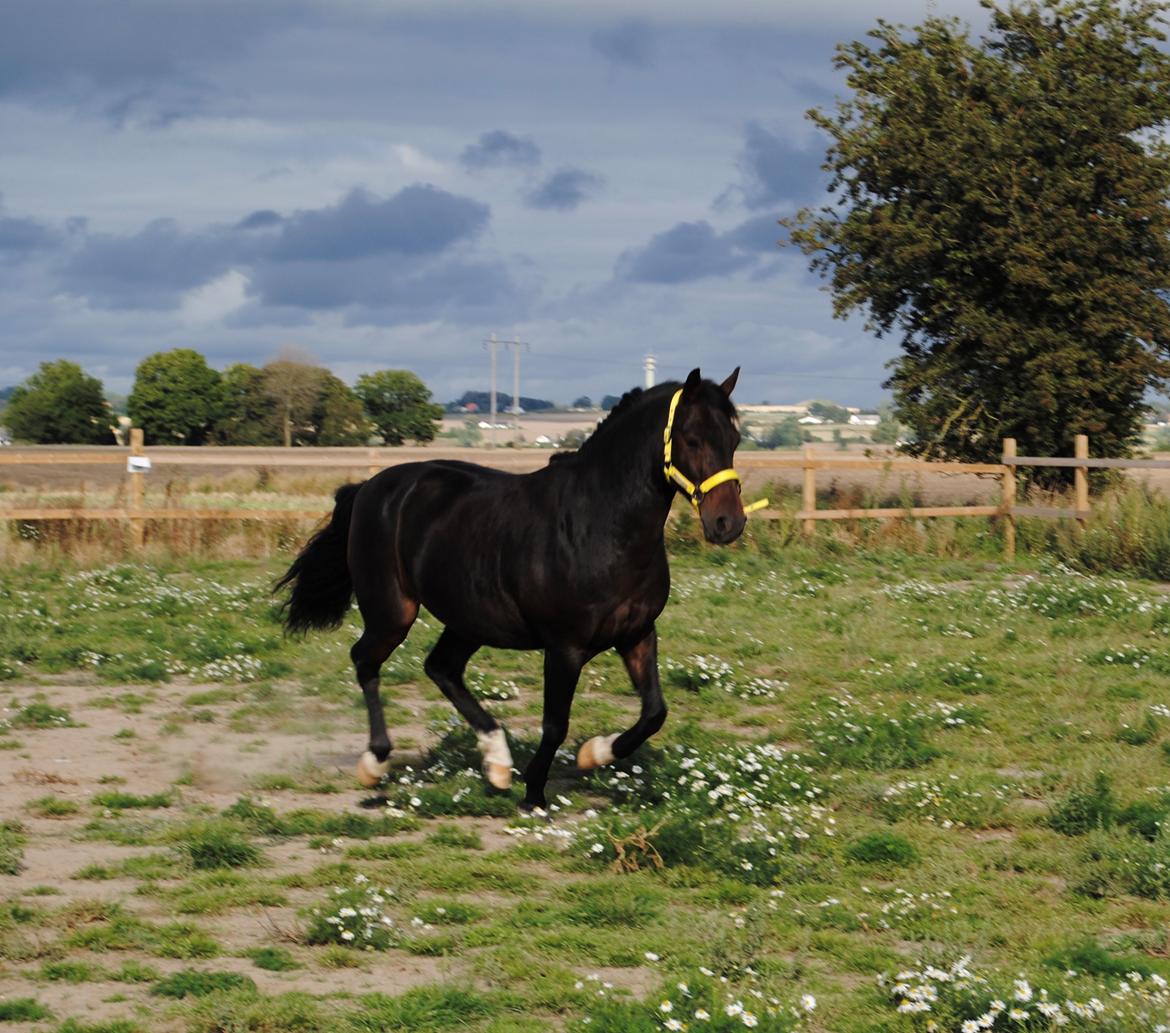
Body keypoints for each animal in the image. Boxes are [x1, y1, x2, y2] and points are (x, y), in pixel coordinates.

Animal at [274, 367, 748, 814]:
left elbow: (654, 713)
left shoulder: (637, 635)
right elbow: (555, 724)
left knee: (441, 668)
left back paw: (497, 762)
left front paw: (592, 754)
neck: (599, 523)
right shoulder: (565, 647)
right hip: (394, 611)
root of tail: (371, 488)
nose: (728, 523)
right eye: (692, 439)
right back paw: (375, 763)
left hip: (469, 619)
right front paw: (534, 794)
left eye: (734, 439)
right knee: (366, 661)